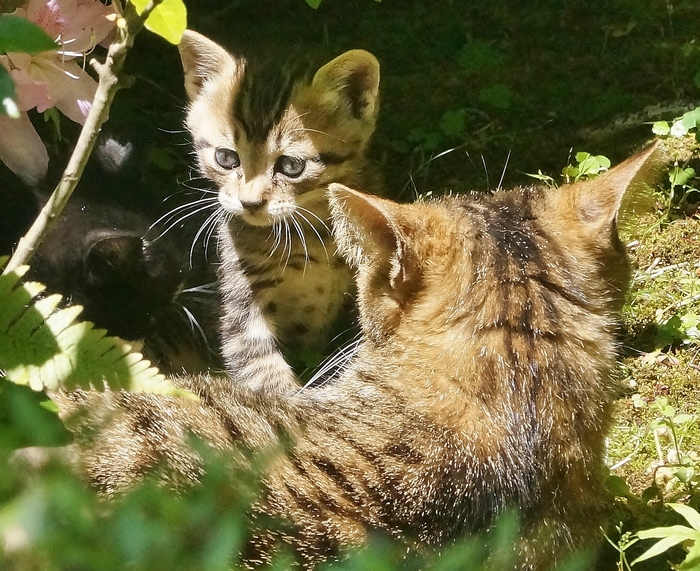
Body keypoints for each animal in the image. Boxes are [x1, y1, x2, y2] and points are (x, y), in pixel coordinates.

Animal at [178, 31, 380, 394]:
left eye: (291, 166)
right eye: (226, 158)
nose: (250, 203)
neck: (311, 234)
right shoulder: (240, 303)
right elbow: (265, 377)